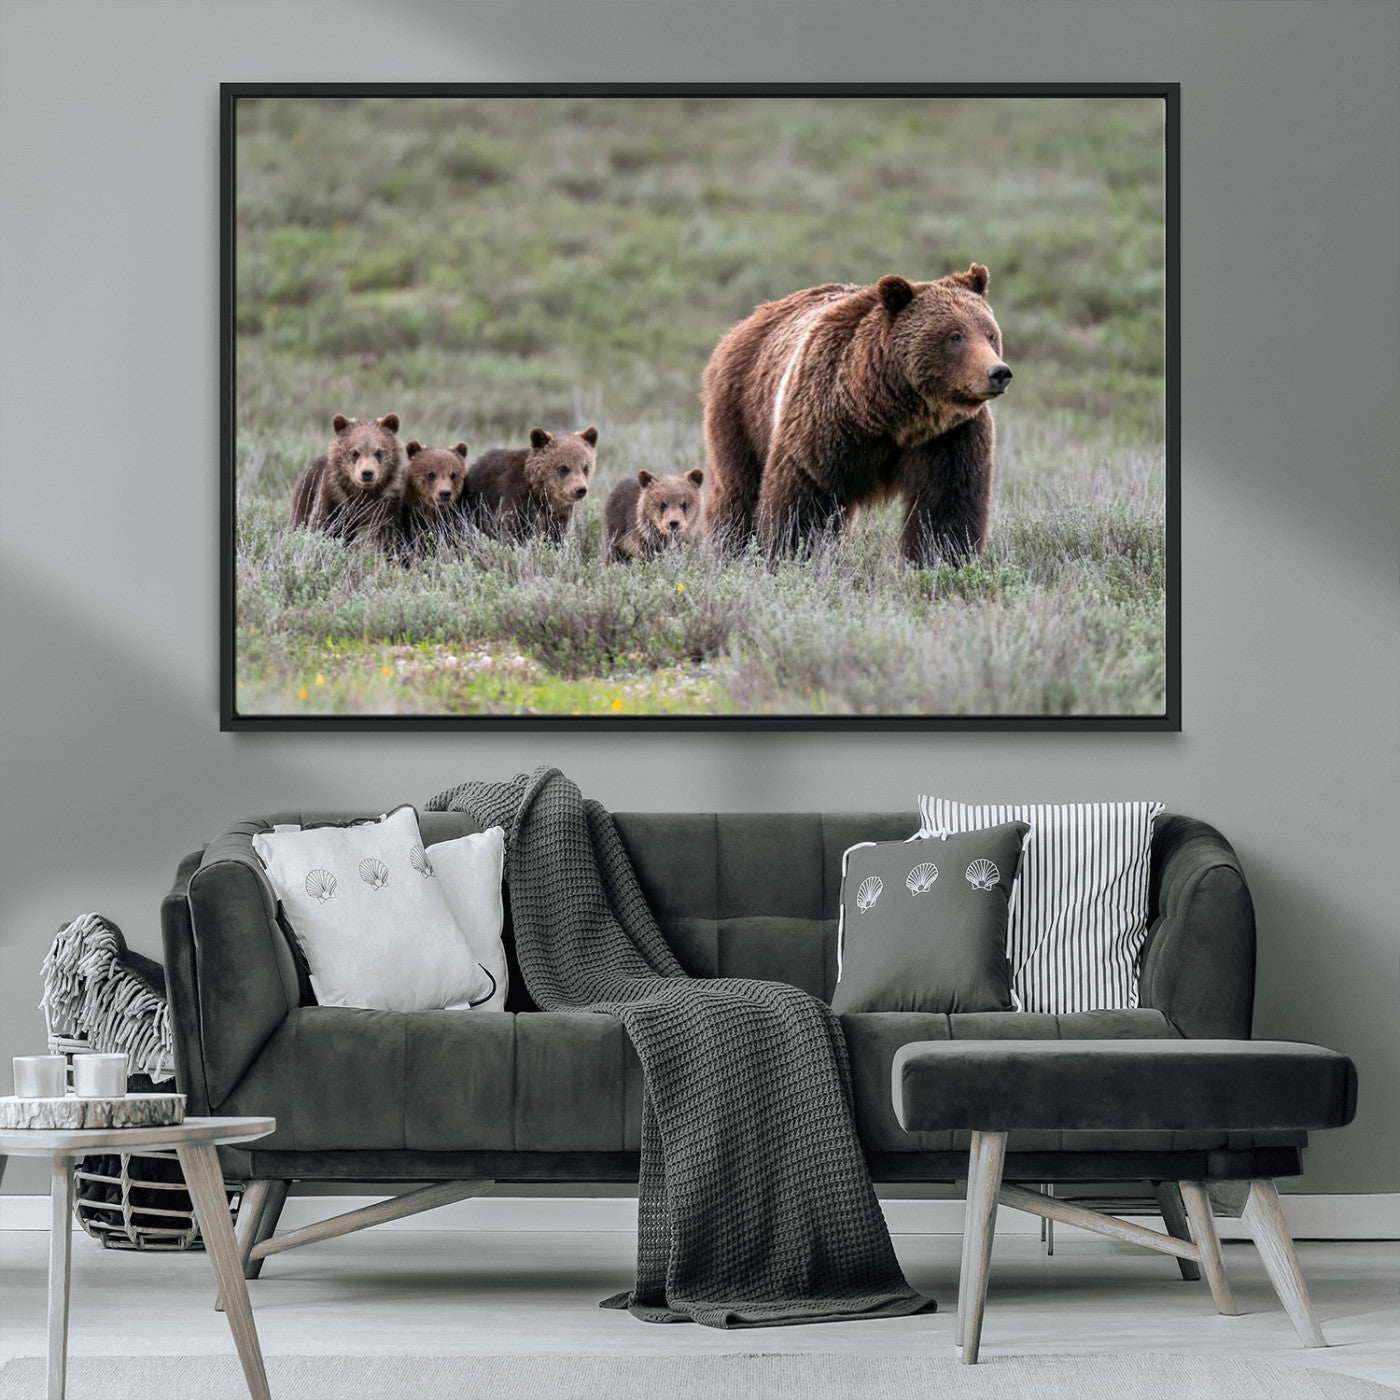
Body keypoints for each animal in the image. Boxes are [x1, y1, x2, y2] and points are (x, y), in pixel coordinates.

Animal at [290, 413, 408, 551]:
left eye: (379, 452)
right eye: (354, 453)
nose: (367, 473)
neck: (360, 492)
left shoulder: (384, 503)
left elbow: (374, 532)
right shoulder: (333, 496)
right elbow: (322, 523)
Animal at [463, 426, 598, 544]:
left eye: (585, 468)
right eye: (563, 468)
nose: (580, 489)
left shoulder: (558, 516)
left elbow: (555, 535)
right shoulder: (517, 501)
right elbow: (515, 532)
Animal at [700, 265, 1011, 564]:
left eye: (990, 334)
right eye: (955, 336)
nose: (998, 372)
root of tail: (747, 322)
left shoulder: (948, 436)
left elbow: (947, 506)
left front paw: (942, 560)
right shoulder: (824, 423)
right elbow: (803, 500)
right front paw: (790, 556)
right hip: (743, 409)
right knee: (737, 490)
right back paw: (730, 549)